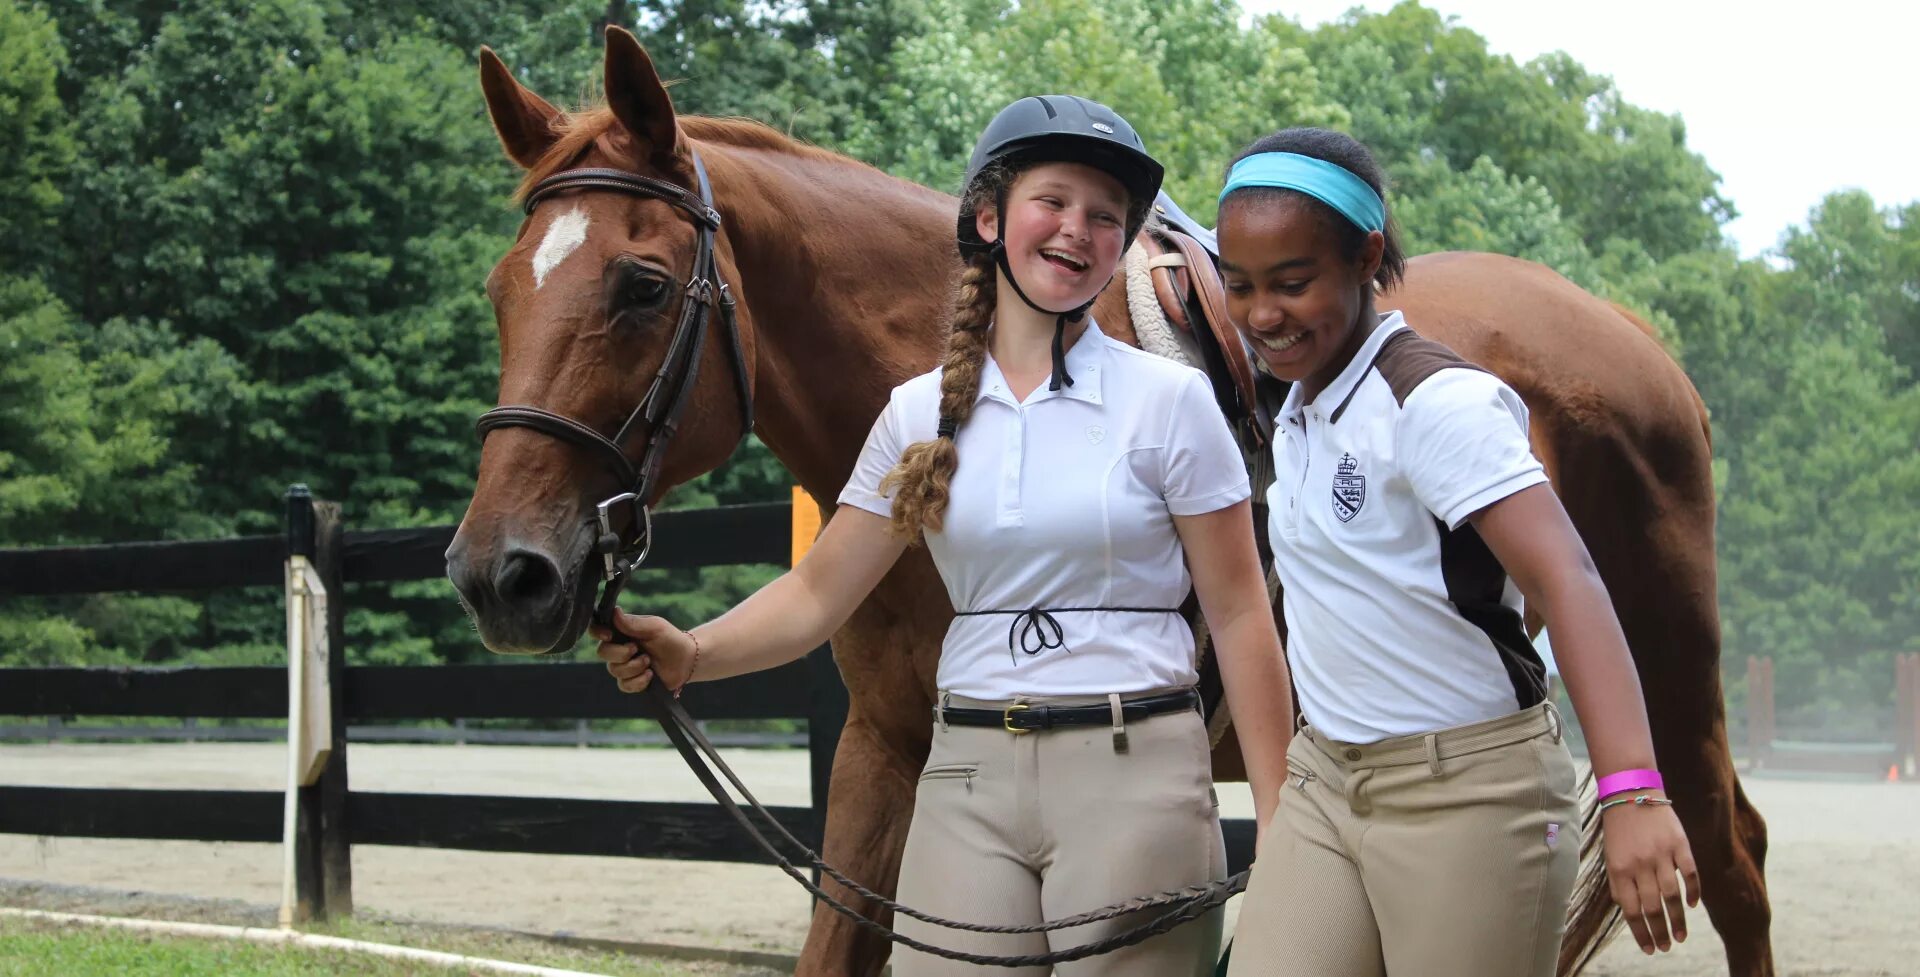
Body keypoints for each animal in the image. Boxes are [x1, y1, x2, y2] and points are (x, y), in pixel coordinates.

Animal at [441, 30, 1774, 975]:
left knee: (1733, 854)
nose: (501, 573)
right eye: (504, 289)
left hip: (1665, 656)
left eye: (641, 284)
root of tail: (1634, 339)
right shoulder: (886, 748)